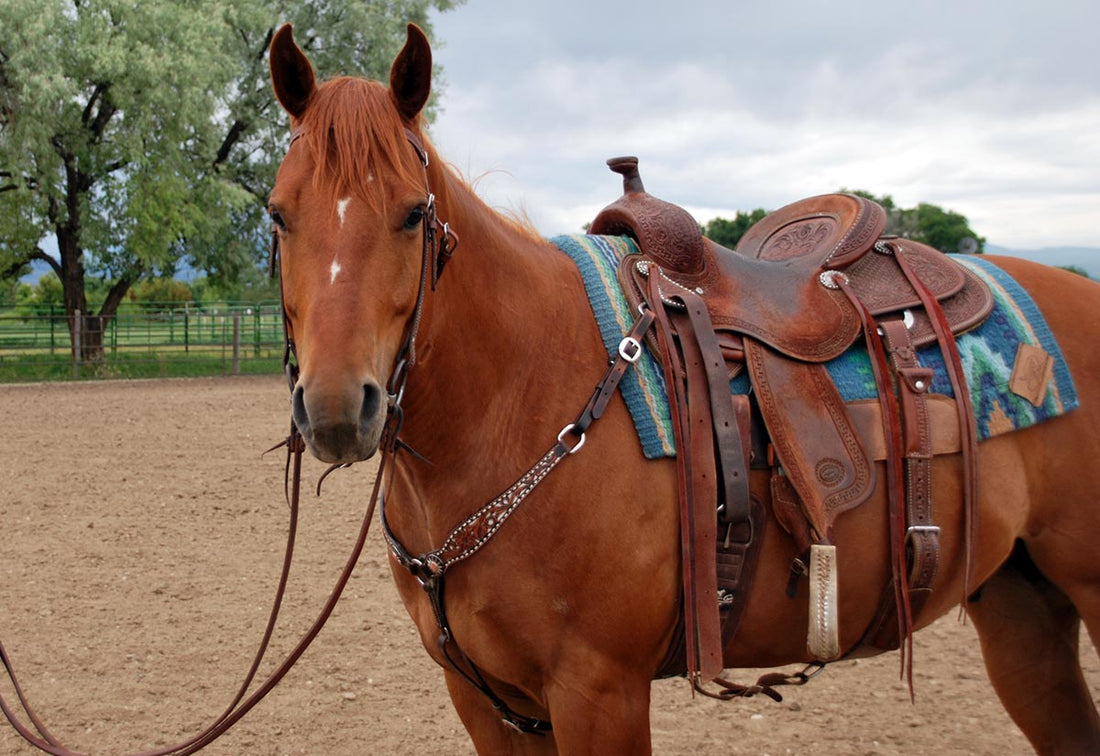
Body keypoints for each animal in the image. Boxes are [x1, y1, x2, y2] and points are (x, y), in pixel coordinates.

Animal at [267, 22, 1100, 754]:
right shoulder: (488, 702)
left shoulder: (598, 691)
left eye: (413, 214)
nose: (337, 409)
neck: (521, 396)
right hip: (1020, 602)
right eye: (277, 216)